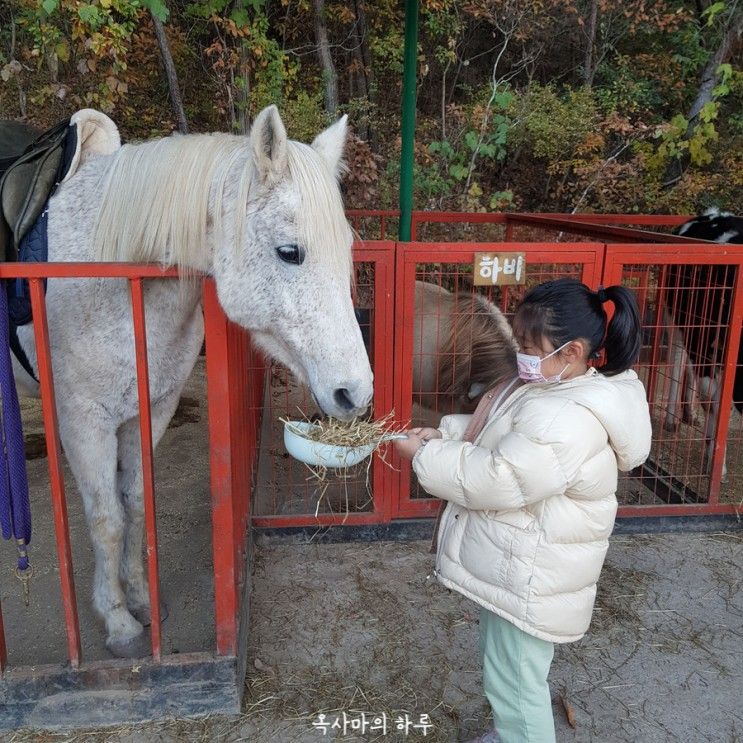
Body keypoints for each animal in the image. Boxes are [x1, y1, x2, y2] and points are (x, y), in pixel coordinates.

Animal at [11, 104, 372, 656]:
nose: (356, 392)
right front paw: (119, 623)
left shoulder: (151, 408)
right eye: (290, 251)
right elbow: (106, 519)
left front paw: (141, 600)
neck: (108, 270)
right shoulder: (82, 422)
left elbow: (135, 503)